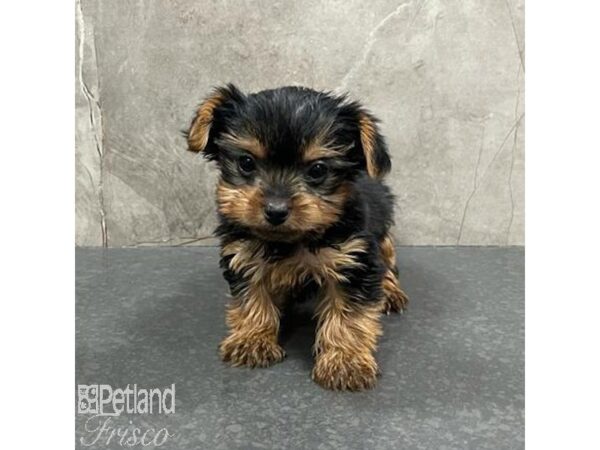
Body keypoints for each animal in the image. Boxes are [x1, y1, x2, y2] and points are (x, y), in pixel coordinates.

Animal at [186, 85, 408, 390]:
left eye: (317, 170)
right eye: (246, 162)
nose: (276, 210)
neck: (291, 240)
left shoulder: (353, 258)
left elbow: (349, 315)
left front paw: (345, 361)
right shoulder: (243, 252)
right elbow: (251, 295)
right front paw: (252, 339)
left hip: (382, 231)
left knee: (387, 260)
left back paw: (390, 291)